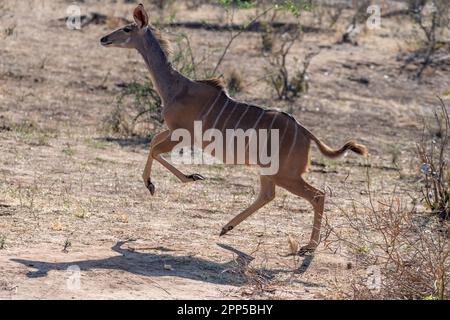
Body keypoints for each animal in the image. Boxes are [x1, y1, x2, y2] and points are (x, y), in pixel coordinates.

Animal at [102, 2, 370, 252]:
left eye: (127, 28)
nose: (104, 39)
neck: (176, 86)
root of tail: (306, 133)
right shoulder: (173, 131)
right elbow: (152, 143)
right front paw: (173, 180)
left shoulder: (182, 134)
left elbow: (155, 149)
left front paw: (166, 182)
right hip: (270, 171)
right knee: (269, 194)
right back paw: (226, 228)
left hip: (285, 174)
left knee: (316, 195)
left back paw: (308, 246)